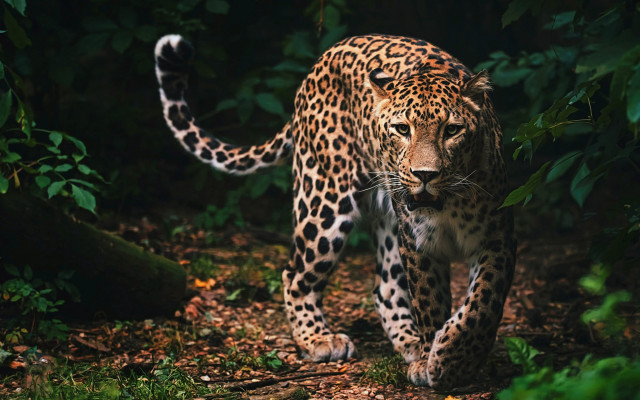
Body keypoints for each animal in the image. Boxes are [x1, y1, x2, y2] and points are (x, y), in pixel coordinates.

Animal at [154, 33, 515, 389]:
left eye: (452, 130)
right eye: (402, 129)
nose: (425, 175)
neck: (448, 204)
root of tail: (322, 60)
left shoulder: (497, 237)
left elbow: (483, 304)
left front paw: (452, 359)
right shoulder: (418, 244)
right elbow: (430, 303)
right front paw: (438, 361)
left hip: (386, 221)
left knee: (385, 287)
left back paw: (410, 344)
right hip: (323, 201)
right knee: (295, 274)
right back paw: (319, 340)